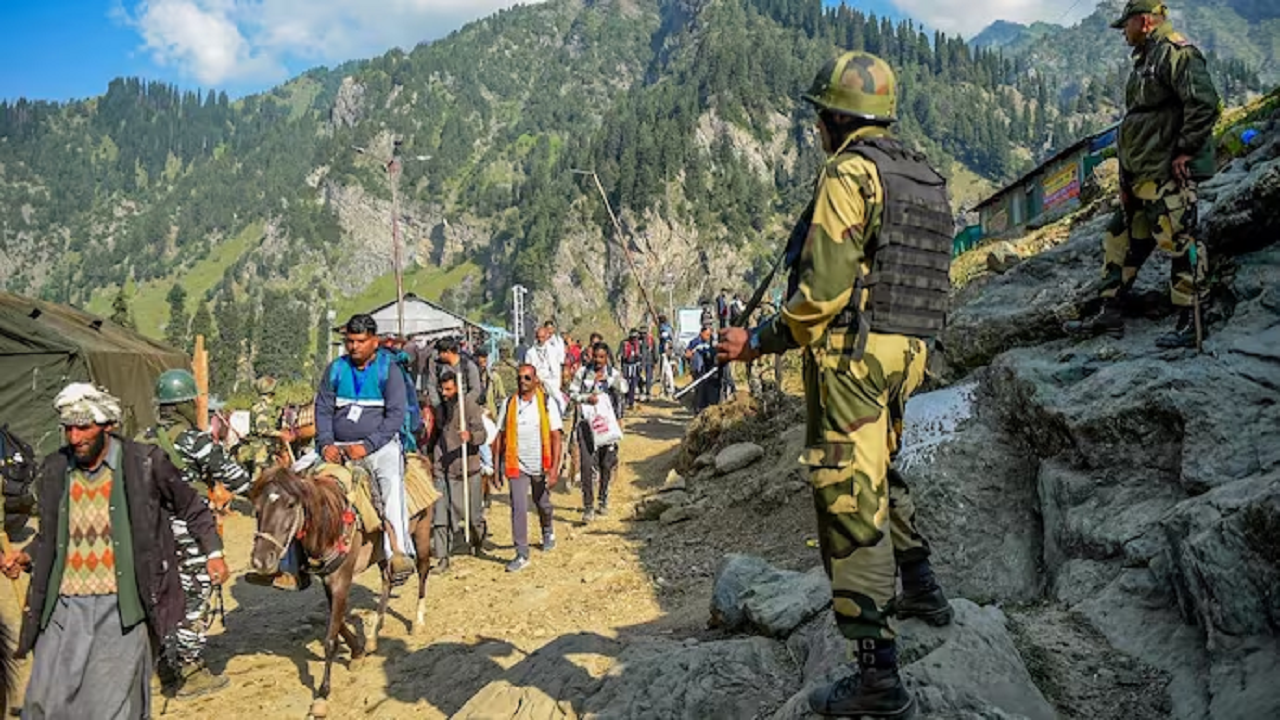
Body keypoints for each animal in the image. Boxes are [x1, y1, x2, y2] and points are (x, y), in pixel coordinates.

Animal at [247, 461, 437, 707]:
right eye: (256, 508)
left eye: (290, 504)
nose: (261, 560)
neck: (332, 522)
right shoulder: (328, 579)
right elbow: (338, 622)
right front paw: (357, 652)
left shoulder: (342, 579)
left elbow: (330, 638)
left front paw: (323, 691)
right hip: (382, 552)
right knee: (387, 580)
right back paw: (373, 636)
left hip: (422, 531)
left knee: (423, 570)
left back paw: (418, 621)